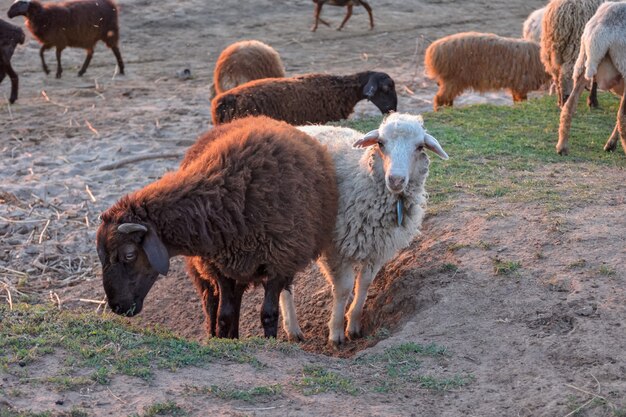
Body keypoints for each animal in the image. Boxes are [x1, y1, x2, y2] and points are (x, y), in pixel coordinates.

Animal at [98, 115, 338, 340]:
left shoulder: (280, 262)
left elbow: (268, 314)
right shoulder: (219, 267)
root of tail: (258, 117)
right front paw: (225, 340)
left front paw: (269, 340)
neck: (225, 199)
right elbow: (225, 314)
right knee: (212, 303)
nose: (117, 307)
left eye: (129, 255)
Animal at [288, 114, 448, 344]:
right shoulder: (335, 247)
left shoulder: (379, 247)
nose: (396, 180)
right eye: (380, 143)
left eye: (419, 147)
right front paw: (336, 332)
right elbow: (344, 288)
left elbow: (364, 283)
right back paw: (292, 328)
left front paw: (353, 324)